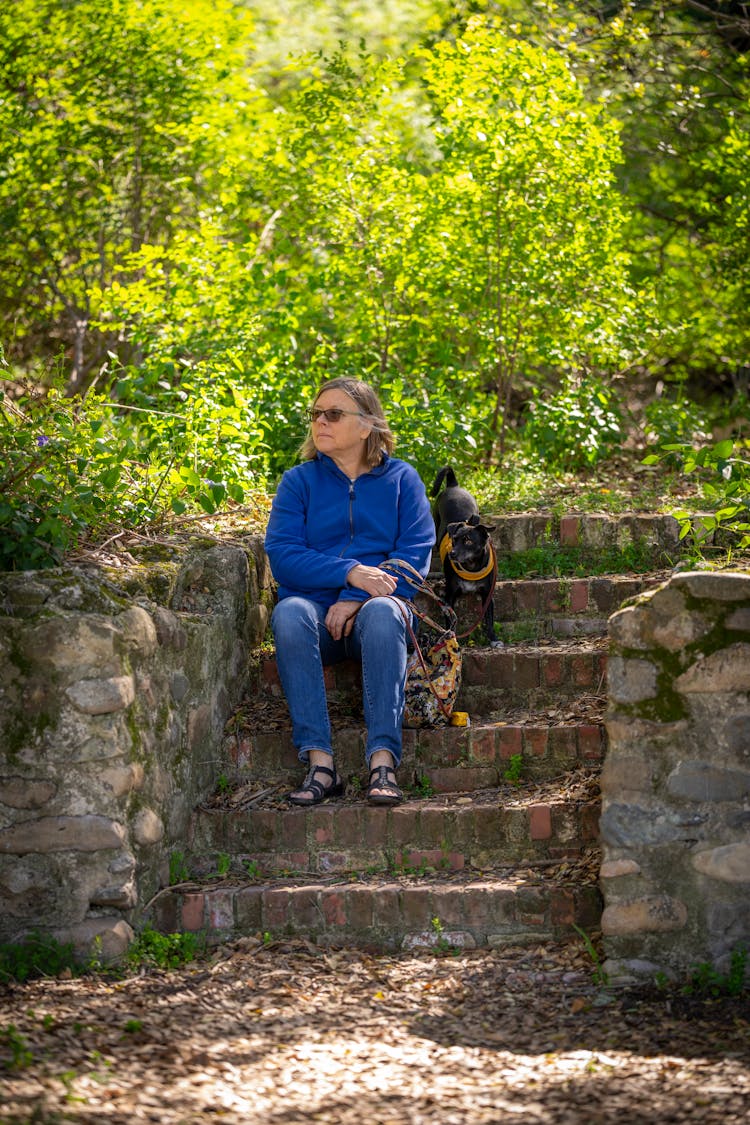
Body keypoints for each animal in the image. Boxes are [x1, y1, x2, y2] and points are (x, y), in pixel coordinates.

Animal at [434, 463, 499, 643]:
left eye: (469, 541)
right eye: (454, 540)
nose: (452, 554)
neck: (471, 567)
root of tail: (453, 485)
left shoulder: (488, 595)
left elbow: (489, 618)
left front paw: (493, 638)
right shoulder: (450, 597)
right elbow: (450, 621)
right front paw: (451, 638)